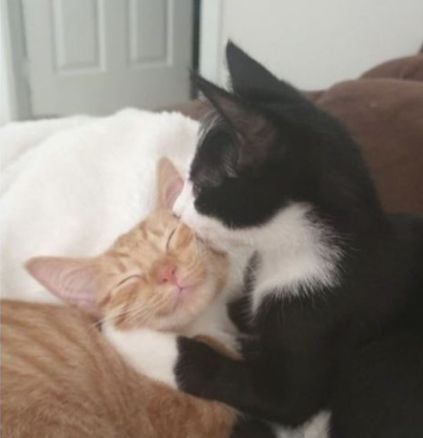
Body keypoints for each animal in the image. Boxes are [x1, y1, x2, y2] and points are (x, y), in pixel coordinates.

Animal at [109, 42, 423, 438]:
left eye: (201, 185)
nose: (178, 212)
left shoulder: (324, 314)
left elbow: (233, 376)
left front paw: (128, 336)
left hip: (381, 365)